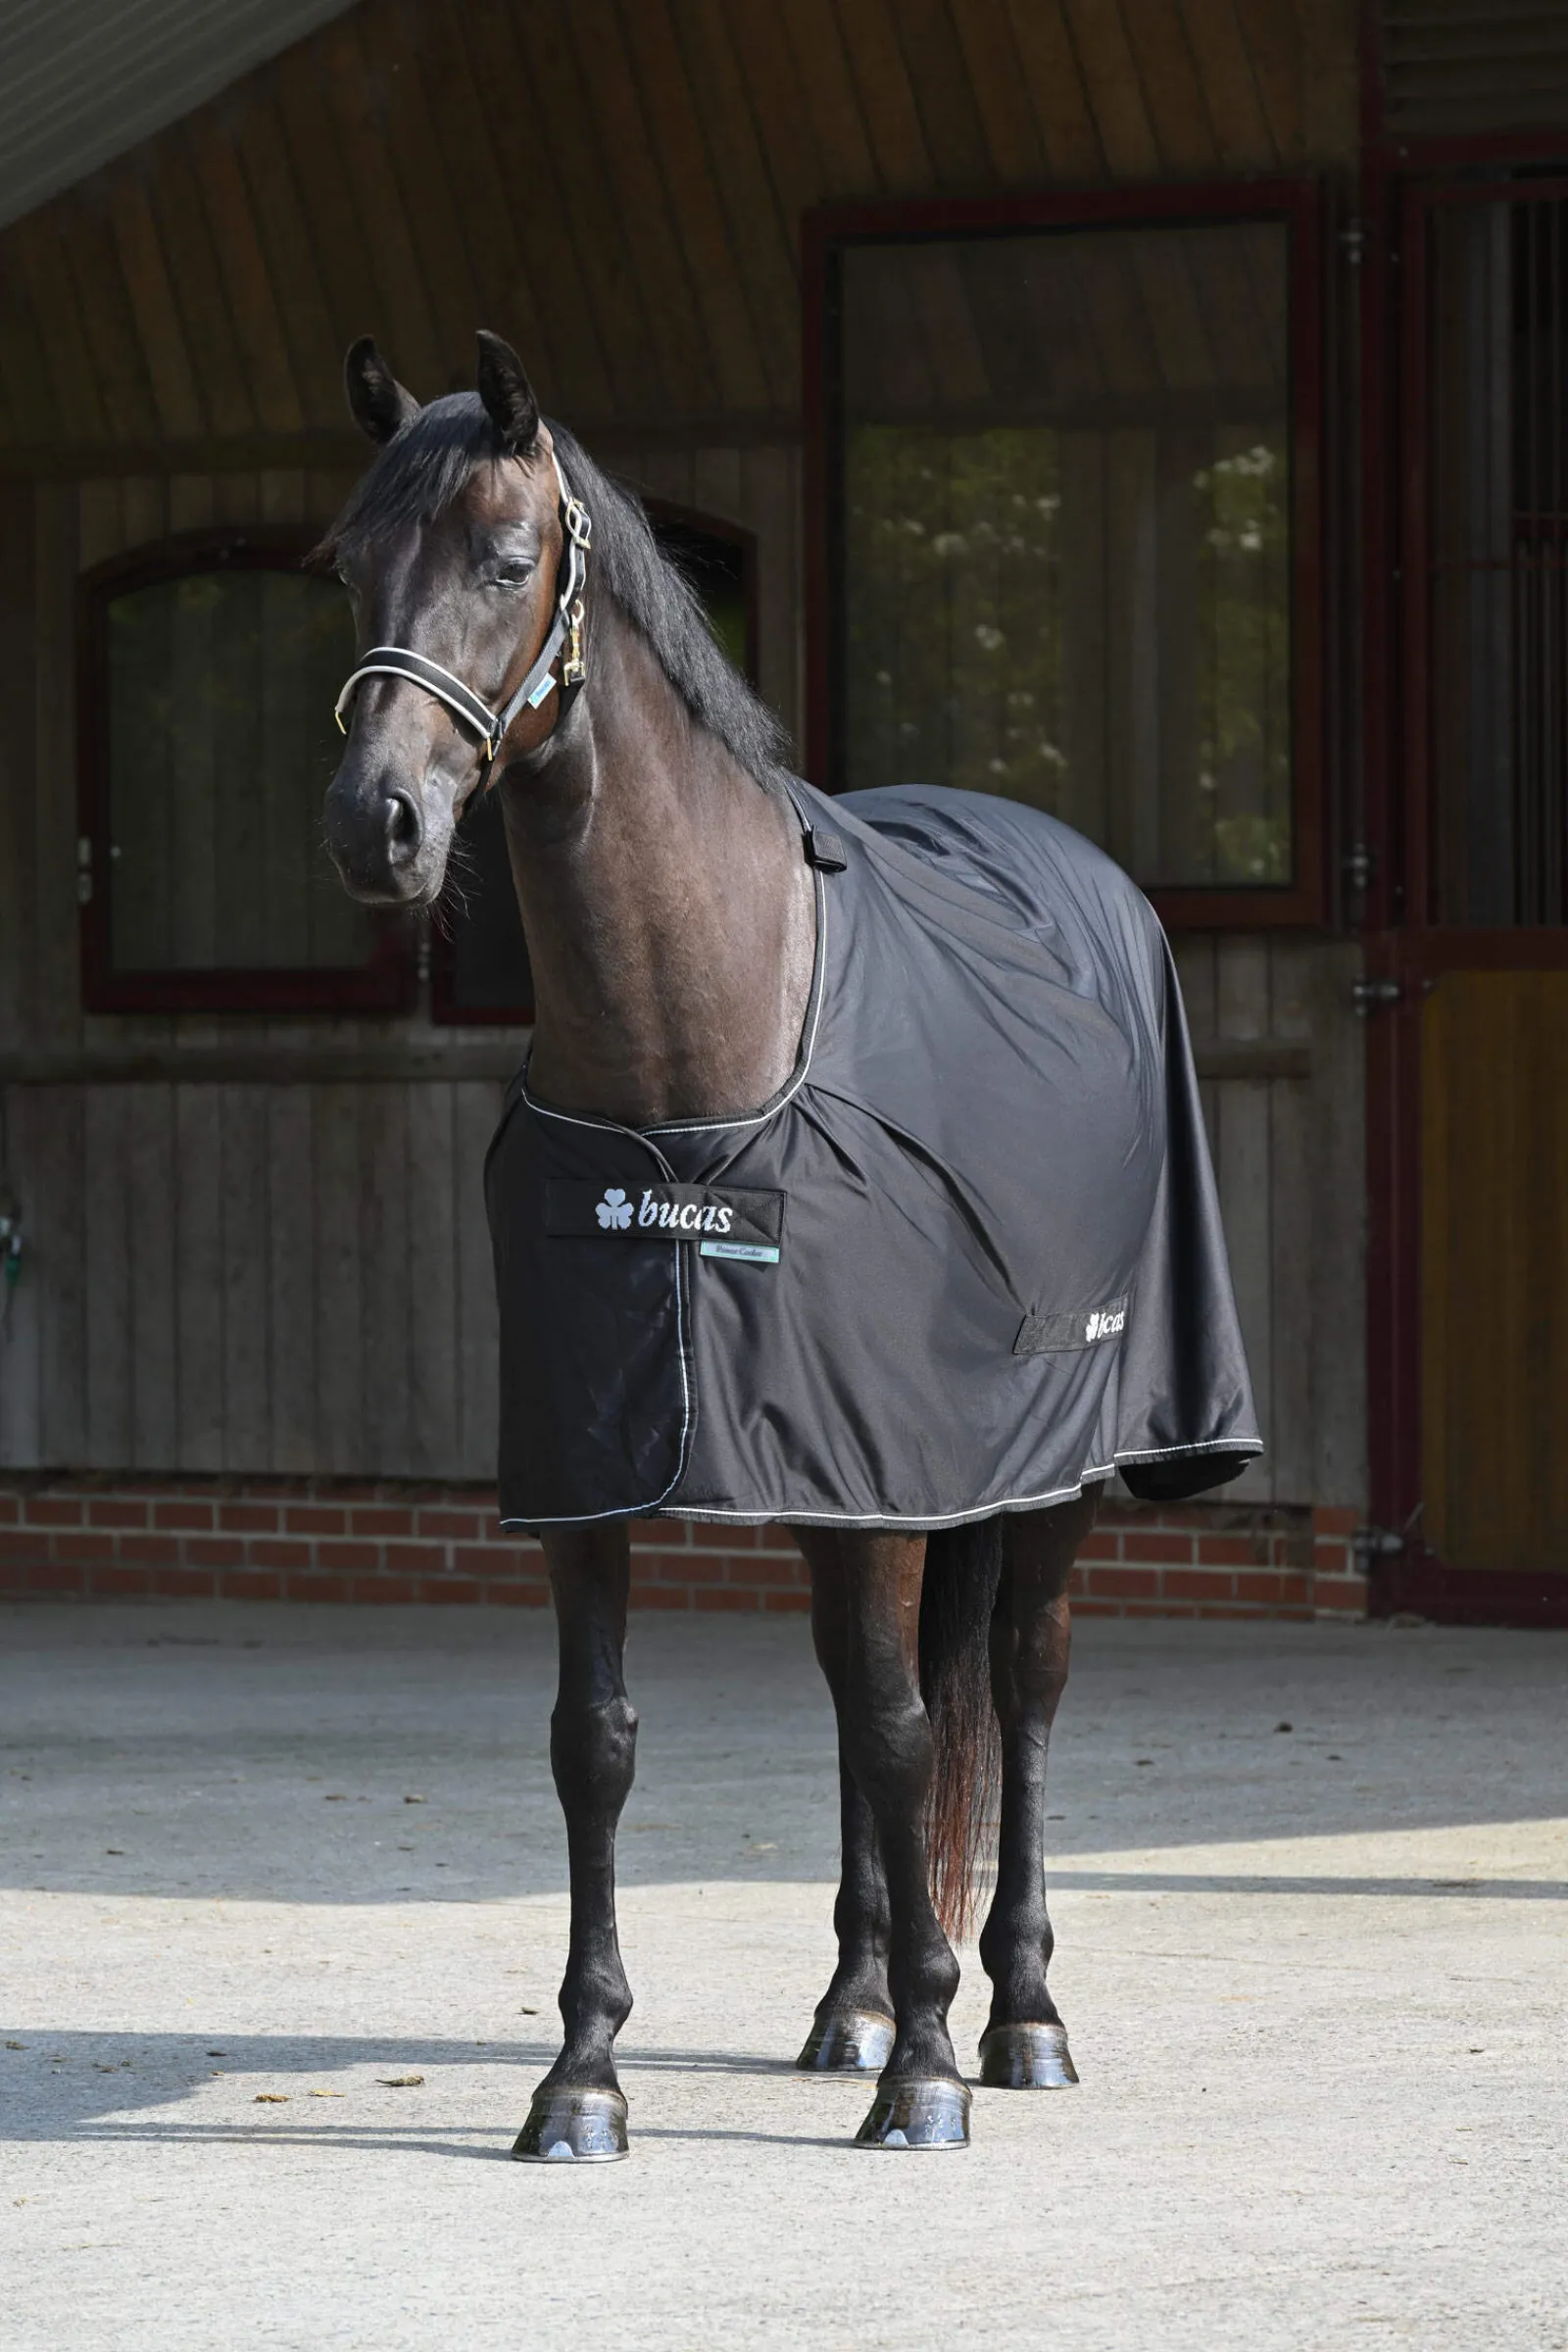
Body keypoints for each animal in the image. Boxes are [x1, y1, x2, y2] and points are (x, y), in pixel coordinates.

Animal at [320, 332, 1259, 2161]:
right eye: (345, 566)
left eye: (505, 560)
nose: (375, 822)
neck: (696, 1048)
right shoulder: (599, 1465)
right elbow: (599, 1743)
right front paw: (584, 2077)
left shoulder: (882, 1473)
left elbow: (905, 1734)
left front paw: (930, 2076)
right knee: (863, 1700)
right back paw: (853, 2003)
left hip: (1060, 1464)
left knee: (1014, 1695)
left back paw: (1017, 2017)